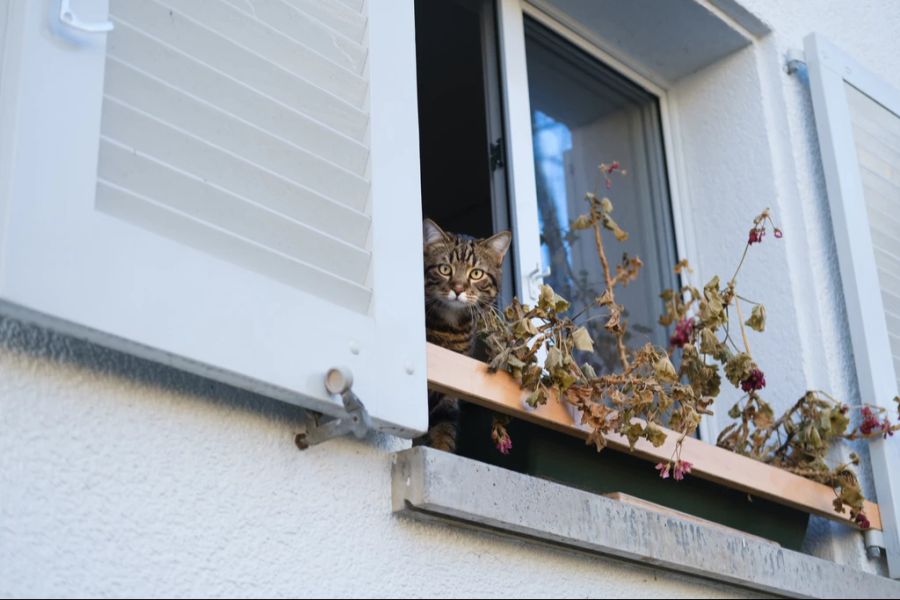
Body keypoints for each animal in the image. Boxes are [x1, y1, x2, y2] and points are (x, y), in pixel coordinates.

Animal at [412, 218, 510, 452]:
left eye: (476, 273)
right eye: (444, 269)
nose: (457, 288)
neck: (449, 329)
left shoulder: (450, 383)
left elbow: (444, 430)